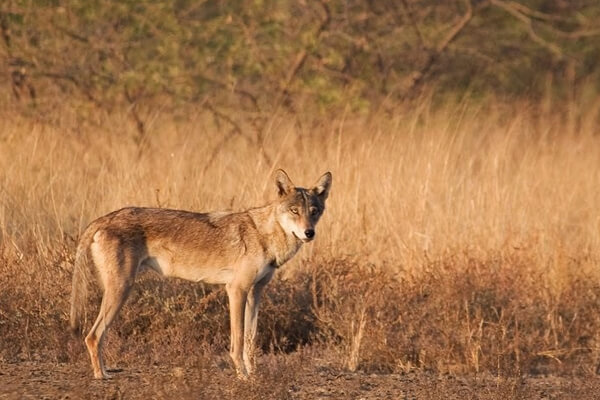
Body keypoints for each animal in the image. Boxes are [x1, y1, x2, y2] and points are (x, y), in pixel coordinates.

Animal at [71, 169, 332, 378]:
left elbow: (250, 340)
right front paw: (242, 376)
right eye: (294, 211)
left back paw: (104, 371)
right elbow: (238, 341)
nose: (309, 233)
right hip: (121, 290)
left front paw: (254, 375)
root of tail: (102, 219)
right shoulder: (236, 290)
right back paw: (100, 376)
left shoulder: (255, 292)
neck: (264, 237)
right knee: (92, 336)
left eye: (314, 211)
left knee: (95, 336)